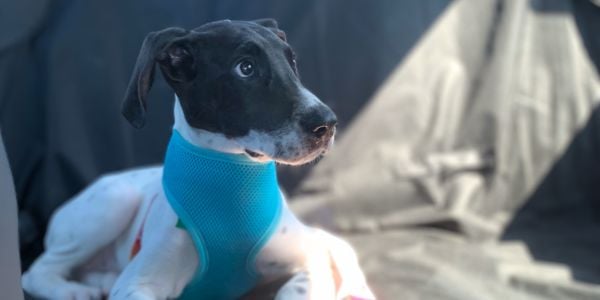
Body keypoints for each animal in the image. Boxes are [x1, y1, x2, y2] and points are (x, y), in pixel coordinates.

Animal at [22, 19, 376, 300]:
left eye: (292, 61)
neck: (231, 186)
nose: (327, 124)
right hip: (114, 201)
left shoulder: (310, 257)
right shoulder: (138, 282)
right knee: (37, 271)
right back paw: (73, 290)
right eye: (245, 68)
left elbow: (301, 286)